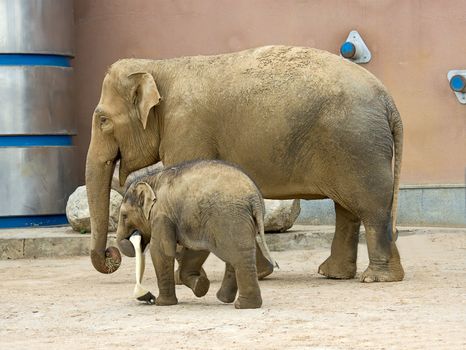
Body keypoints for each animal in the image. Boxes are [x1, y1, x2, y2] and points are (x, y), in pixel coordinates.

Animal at [86, 45, 404, 284]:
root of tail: (389, 102)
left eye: (103, 120)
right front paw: (259, 273)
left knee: (370, 207)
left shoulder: (186, 129)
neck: (159, 66)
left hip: (356, 145)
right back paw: (335, 274)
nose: (112, 254)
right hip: (353, 147)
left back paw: (376, 278)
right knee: (348, 210)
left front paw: (182, 278)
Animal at [116, 160, 276, 308]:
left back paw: (242, 305)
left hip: (229, 219)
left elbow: (161, 251)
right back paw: (228, 300)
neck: (151, 180)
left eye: (124, 215)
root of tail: (255, 198)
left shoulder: (162, 215)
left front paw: (162, 303)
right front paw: (201, 285)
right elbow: (195, 250)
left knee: (237, 256)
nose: (149, 297)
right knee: (238, 255)